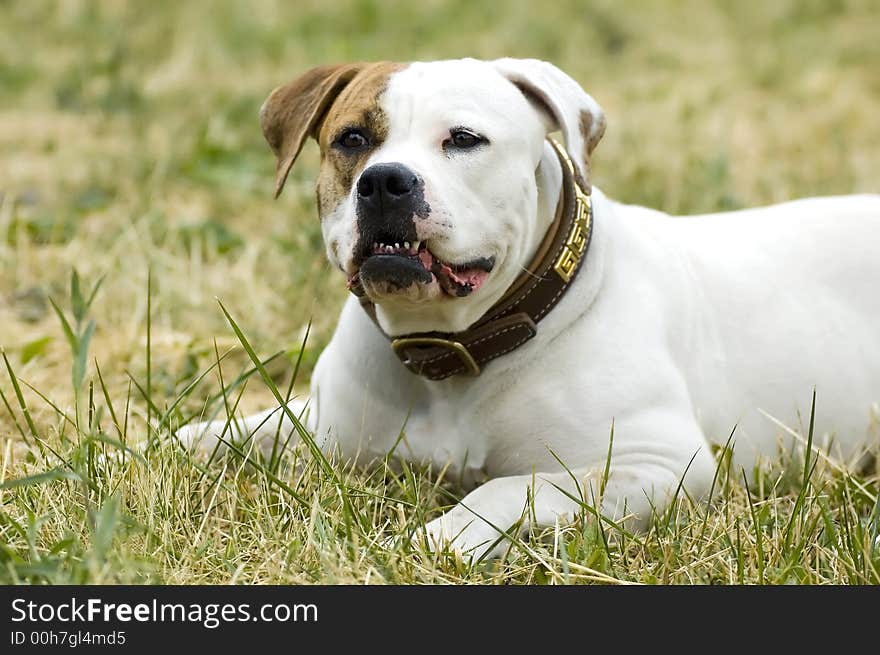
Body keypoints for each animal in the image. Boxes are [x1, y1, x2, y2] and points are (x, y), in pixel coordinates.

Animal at [179, 59, 880, 560]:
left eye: (464, 140)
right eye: (352, 139)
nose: (385, 181)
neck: (456, 347)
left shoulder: (657, 463)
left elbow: (511, 486)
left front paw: (435, 540)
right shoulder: (324, 425)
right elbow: (229, 433)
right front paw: (163, 444)